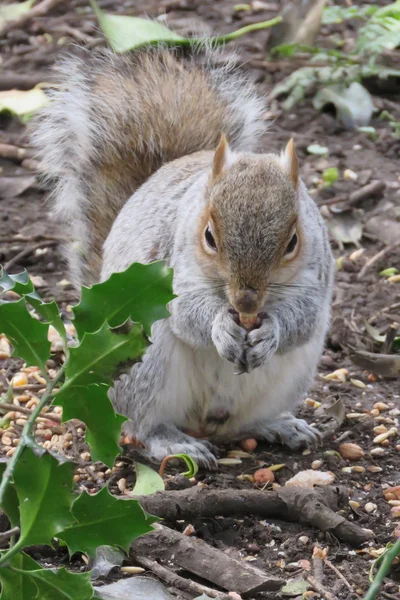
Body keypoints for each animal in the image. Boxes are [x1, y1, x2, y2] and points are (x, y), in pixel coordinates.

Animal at [33, 48, 334, 468]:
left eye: (292, 241)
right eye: (209, 236)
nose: (246, 302)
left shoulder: (315, 275)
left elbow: (302, 318)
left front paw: (271, 331)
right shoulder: (171, 265)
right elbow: (188, 314)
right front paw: (220, 328)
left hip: (291, 376)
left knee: (242, 424)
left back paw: (279, 425)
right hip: (144, 360)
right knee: (141, 424)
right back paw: (172, 441)